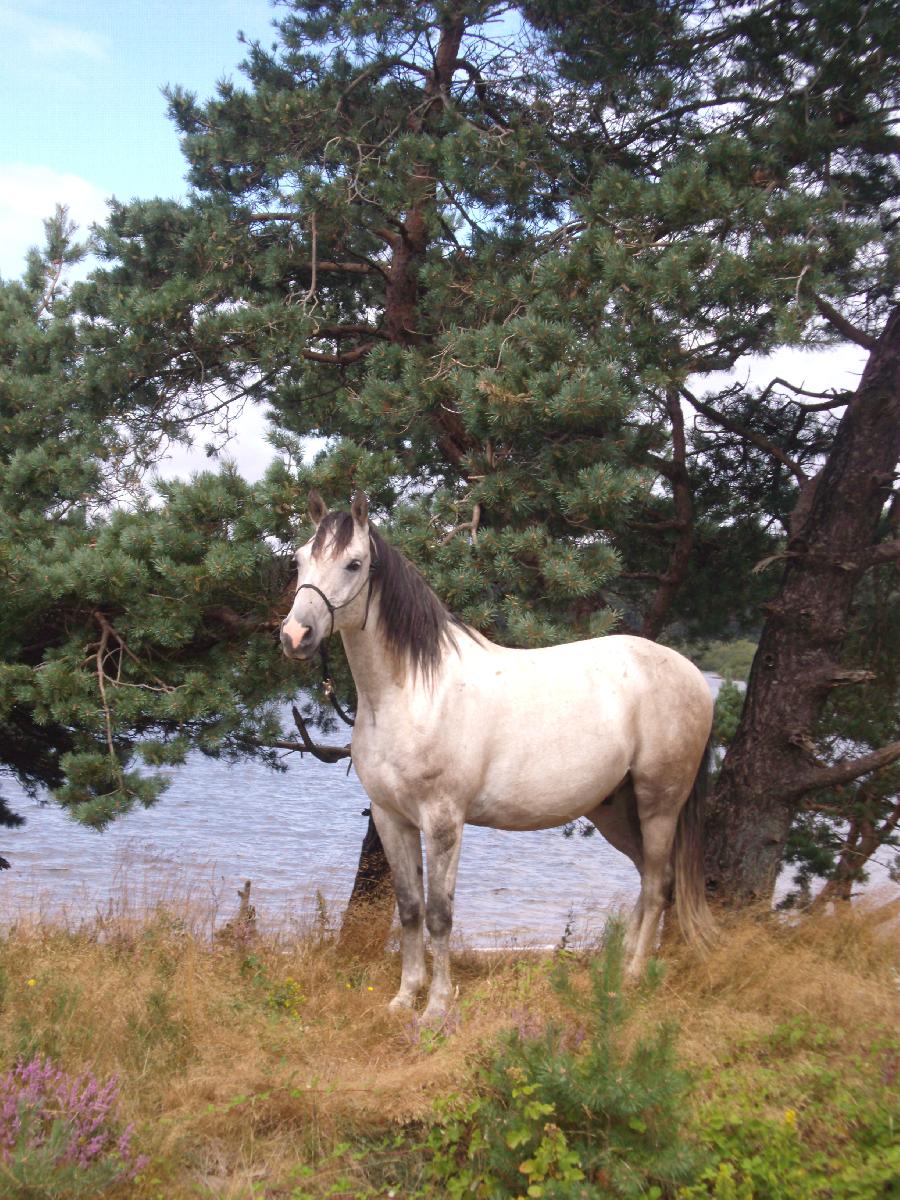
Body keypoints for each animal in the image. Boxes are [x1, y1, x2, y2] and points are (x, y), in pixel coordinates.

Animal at [283, 492, 720, 1017]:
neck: (414, 691)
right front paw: (404, 998)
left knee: (658, 885)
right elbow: (409, 910)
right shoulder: (391, 818)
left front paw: (436, 1007)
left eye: (353, 563)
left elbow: (439, 914)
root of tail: (694, 677)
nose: (295, 636)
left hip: (659, 804)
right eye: (299, 560)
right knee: (645, 878)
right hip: (615, 809)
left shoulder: (443, 821)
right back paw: (613, 970)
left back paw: (631, 980)